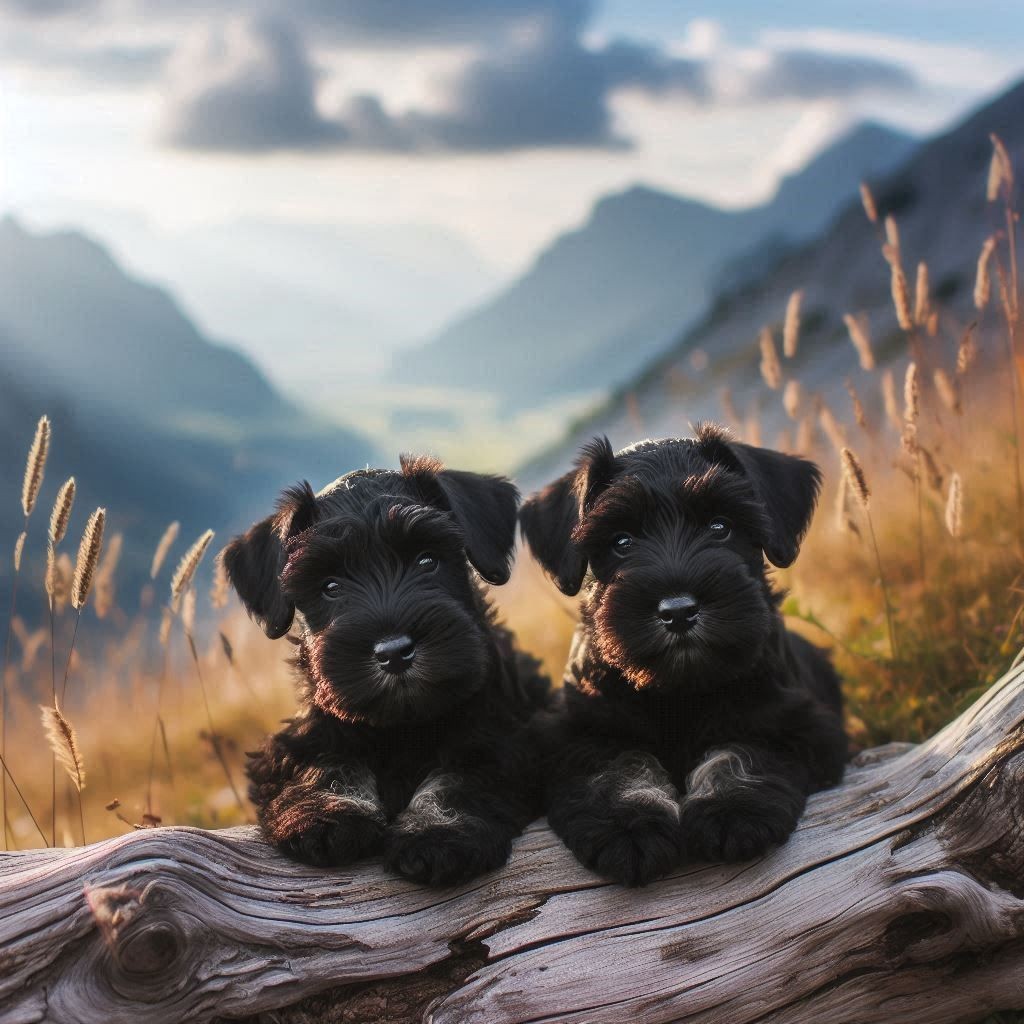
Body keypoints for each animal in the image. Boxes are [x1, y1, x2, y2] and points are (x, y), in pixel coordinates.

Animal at [221, 458, 548, 888]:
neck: (401, 724)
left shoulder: (504, 740)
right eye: (330, 586)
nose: (394, 653)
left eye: (427, 560)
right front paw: (327, 815)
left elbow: (458, 778)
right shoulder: (298, 742)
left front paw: (436, 832)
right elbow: (324, 763)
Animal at [520, 425, 847, 888]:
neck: (678, 688)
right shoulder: (576, 734)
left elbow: (740, 749)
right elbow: (619, 764)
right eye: (621, 541)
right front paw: (629, 826)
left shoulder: (793, 724)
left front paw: (731, 810)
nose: (677, 611)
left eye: (720, 526)